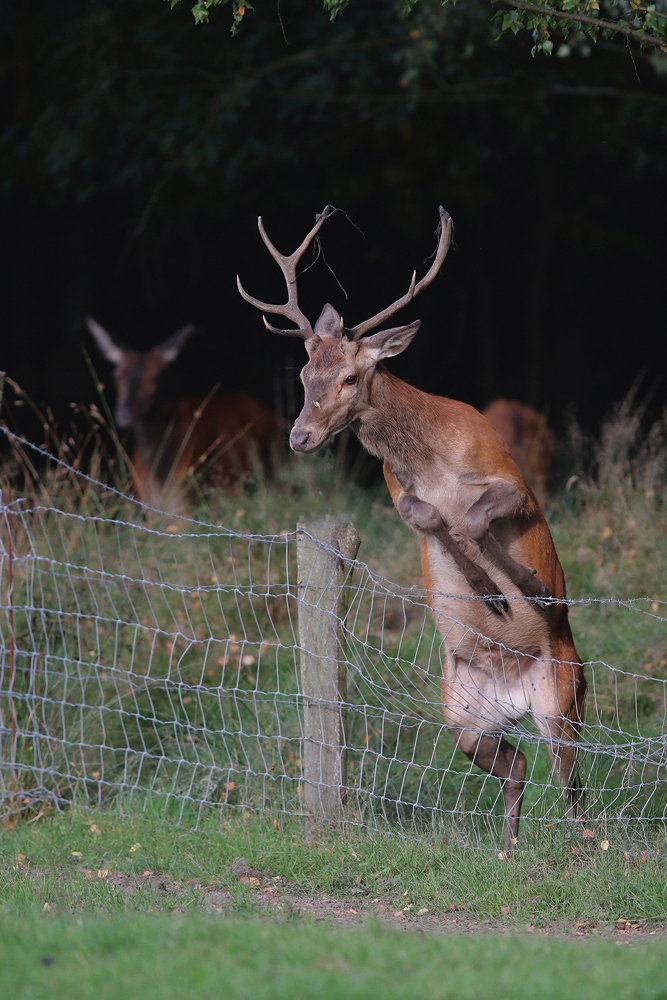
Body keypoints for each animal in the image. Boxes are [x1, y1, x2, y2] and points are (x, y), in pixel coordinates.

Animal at [87, 318, 282, 512]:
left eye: (154, 377)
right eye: (117, 375)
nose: (124, 413)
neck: (159, 477)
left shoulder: (187, 493)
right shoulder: (147, 502)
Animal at [237, 205, 588, 852]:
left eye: (351, 378)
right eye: (304, 372)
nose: (299, 436)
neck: (433, 462)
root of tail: (515, 698)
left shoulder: (515, 482)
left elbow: (475, 515)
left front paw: (522, 584)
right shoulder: (399, 493)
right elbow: (430, 517)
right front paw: (483, 583)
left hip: (565, 694)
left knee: (571, 782)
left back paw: (578, 846)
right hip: (464, 718)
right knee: (518, 764)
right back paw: (508, 849)